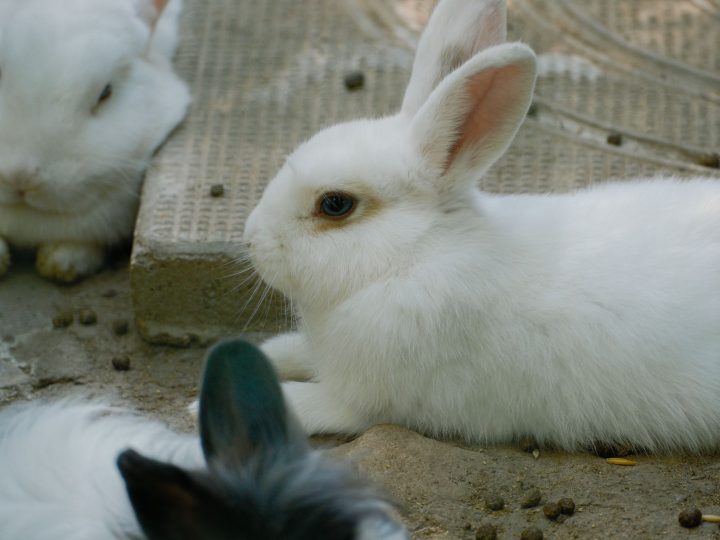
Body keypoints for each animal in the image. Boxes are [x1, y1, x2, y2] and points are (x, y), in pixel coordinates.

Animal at [242, 0, 720, 453]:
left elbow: (318, 405)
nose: (251, 240)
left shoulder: (375, 401)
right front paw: (270, 351)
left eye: (335, 204)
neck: (415, 255)